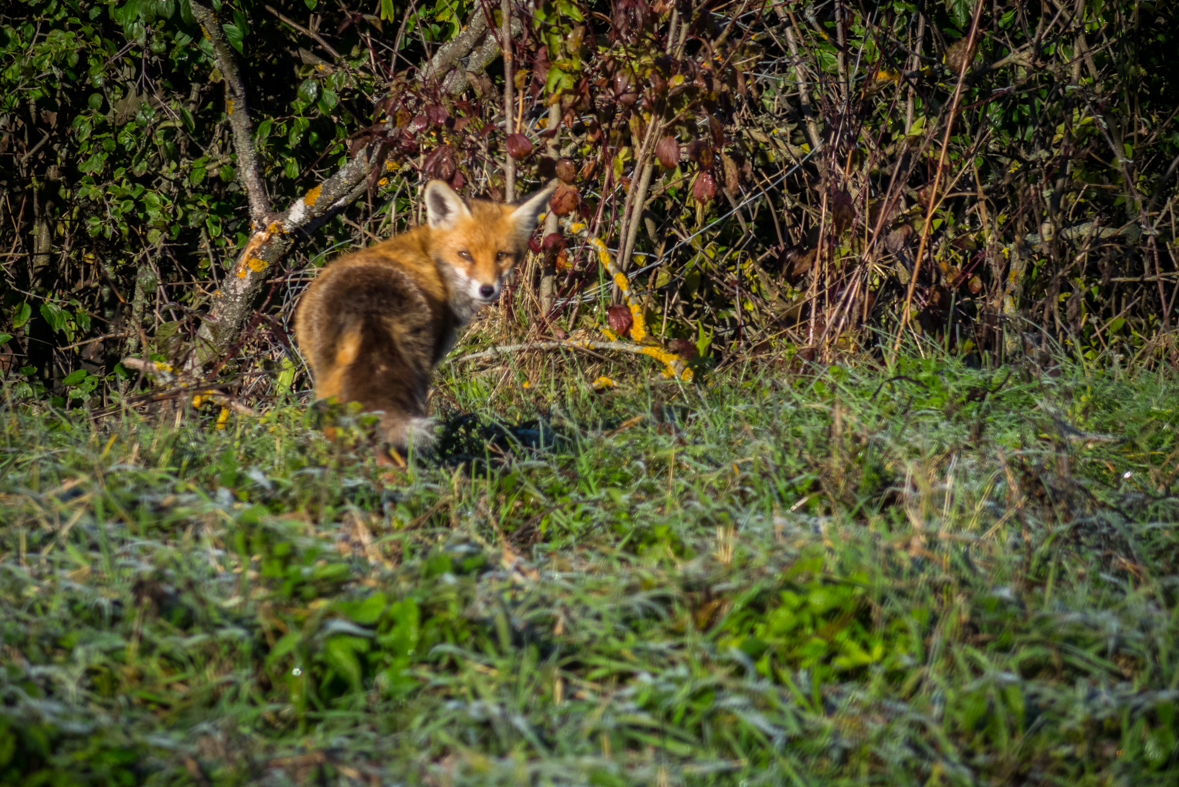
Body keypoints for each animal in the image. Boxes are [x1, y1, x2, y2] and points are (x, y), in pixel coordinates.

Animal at [292, 175, 554, 452]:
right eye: (465, 254)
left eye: (501, 256)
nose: (487, 290)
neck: (431, 258)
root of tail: (367, 303)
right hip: (415, 373)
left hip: (326, 377)